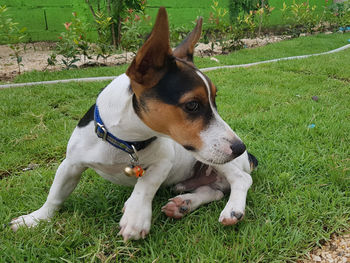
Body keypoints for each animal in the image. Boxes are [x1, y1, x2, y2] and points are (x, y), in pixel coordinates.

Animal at [10, 7, 258, 243]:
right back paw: (184, 203)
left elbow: (146, 184)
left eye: (214, 99)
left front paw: (136, 216)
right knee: (214, 191)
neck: (126, 140)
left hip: (211, 158)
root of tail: (249, 157)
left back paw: (232, 209)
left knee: (241, 179)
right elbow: (55, 194)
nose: (239, 147)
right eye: (192, 105)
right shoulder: (71, 163)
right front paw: (35, 218)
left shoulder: (164, 161)